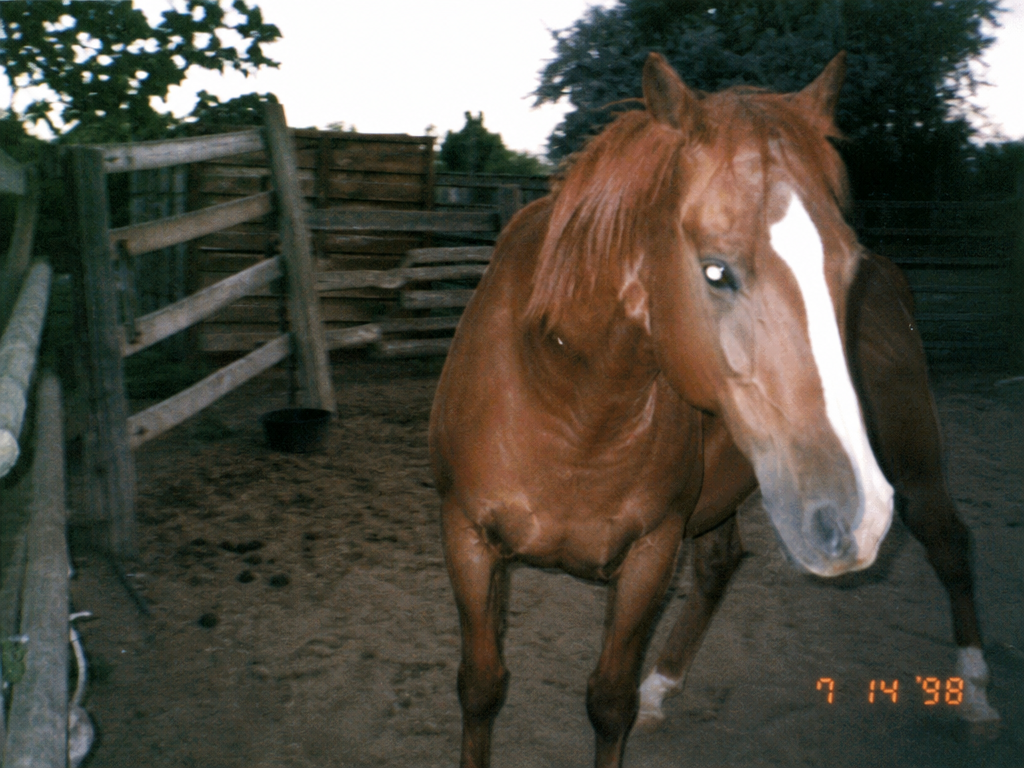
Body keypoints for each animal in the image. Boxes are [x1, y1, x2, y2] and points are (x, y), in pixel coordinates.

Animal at [430, 52, 897, 768]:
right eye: (715, 271)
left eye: (849, 267)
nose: (856, 517)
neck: (572, 408)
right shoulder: (468, 539)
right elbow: (482, 687)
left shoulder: (651, 554)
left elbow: (608, 702)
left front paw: (630, 700)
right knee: (720, 564)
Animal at [635, 247, 1003, 734]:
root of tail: (880, 269)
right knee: (719, 562)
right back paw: (659, 685)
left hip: (912, 461)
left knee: (949, 543)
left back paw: (975, 692)